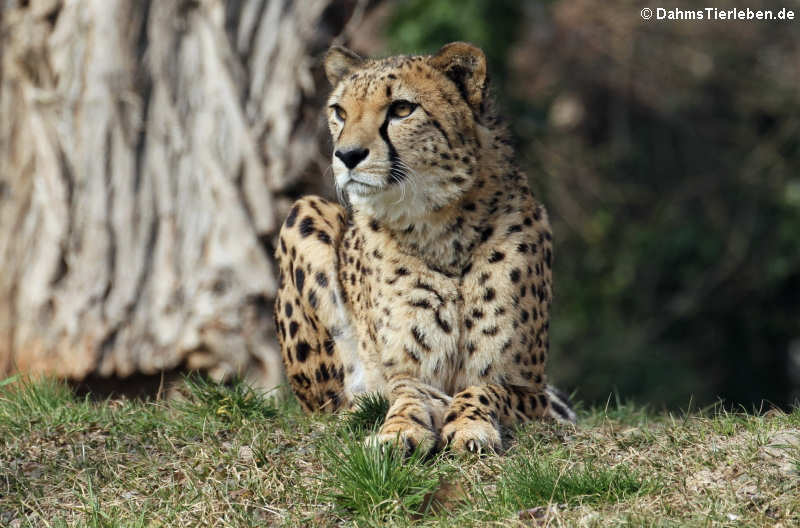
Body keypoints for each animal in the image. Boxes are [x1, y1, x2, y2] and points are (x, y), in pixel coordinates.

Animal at [276, 42, 576, 454]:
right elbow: (408, 394)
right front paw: (400, 429)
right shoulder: (409, 373)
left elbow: (484, 389)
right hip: (303, 211)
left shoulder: (529, 389)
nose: (347, 156)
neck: (442, 230)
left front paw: (469, 424)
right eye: (340, 112)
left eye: (402, 109)